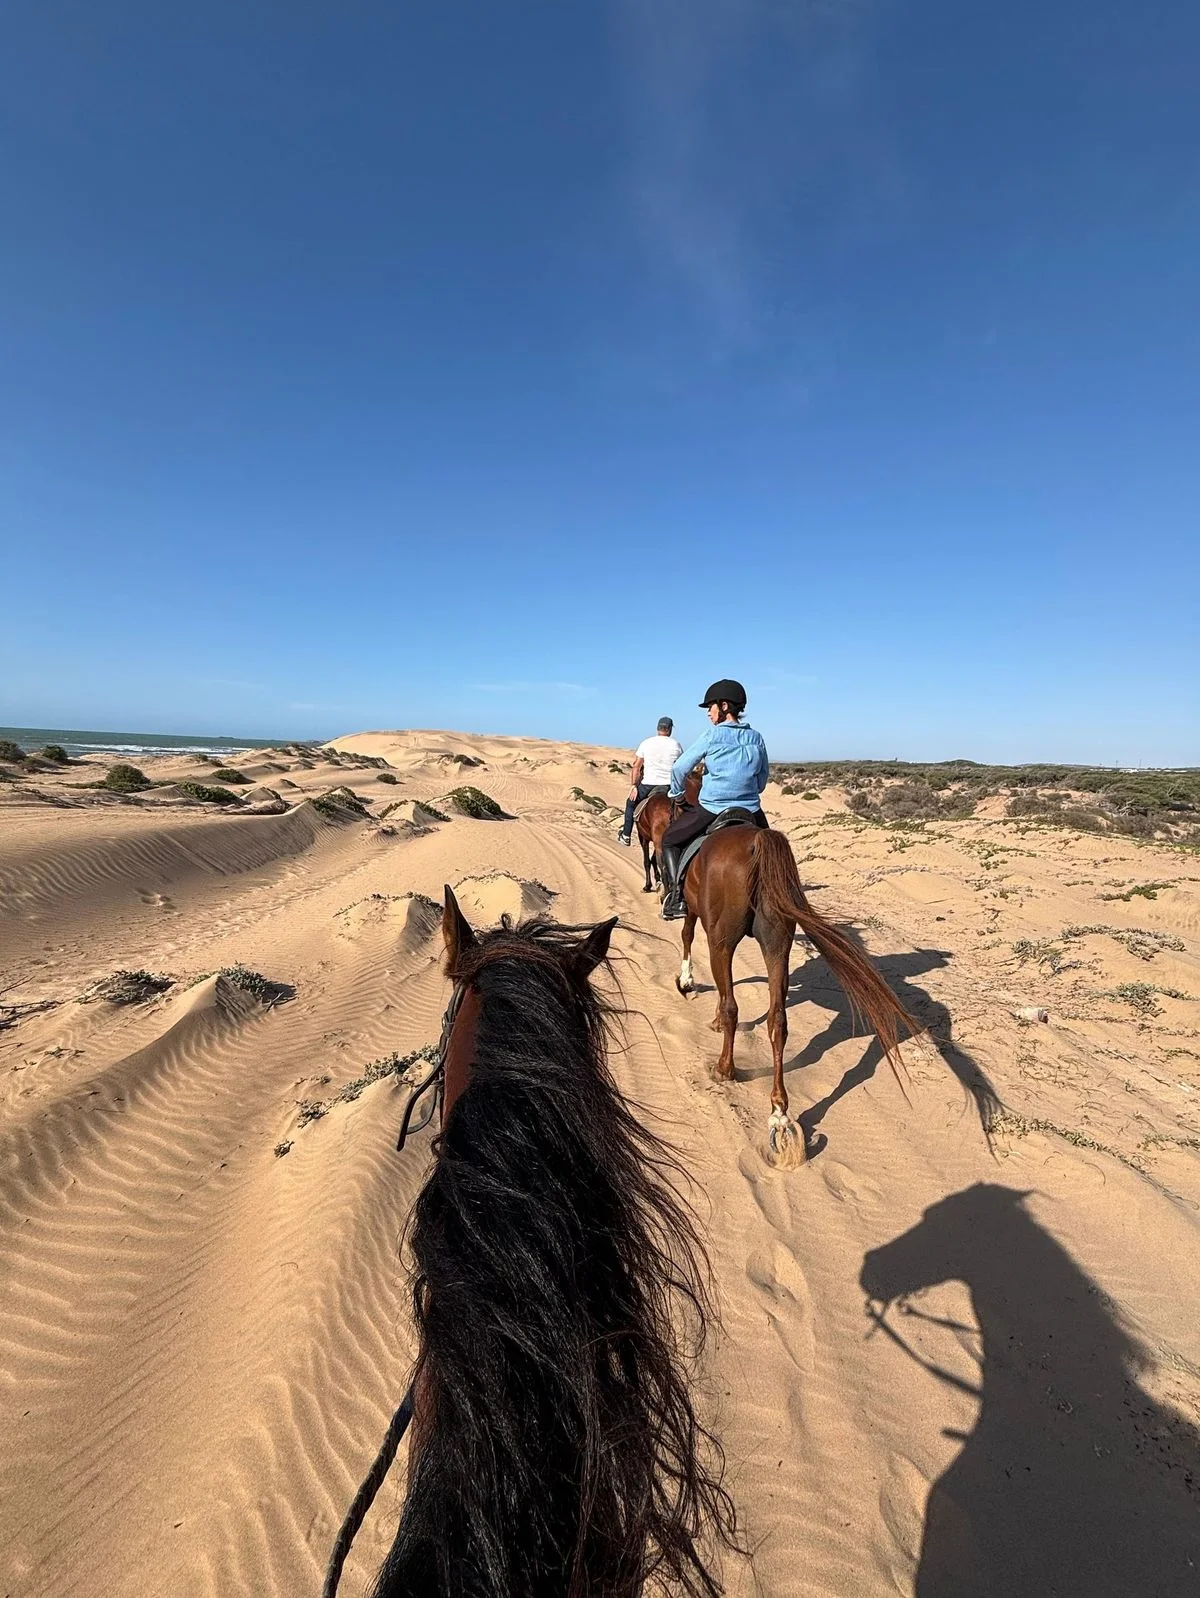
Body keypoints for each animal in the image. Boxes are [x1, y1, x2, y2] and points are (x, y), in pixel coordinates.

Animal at [643, 777, 918, 1168]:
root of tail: (758, 844)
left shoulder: (698, 918)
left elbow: (687, 937)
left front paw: (686, 983)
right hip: (777, 944)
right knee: (778, 1020)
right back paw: (779, 1115)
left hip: (725, 939)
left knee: (734, 1005)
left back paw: (725, 1068)